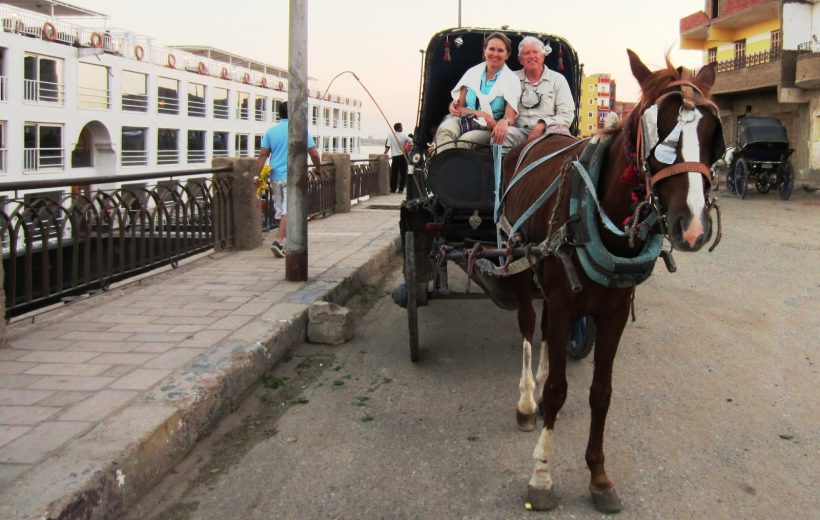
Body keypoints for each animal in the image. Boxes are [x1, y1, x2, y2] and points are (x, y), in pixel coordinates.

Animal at [500, 50, 724, 512]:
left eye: (713, 132)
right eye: (660, 130)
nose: (693, 227)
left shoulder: (615, 311)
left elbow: (600, 392)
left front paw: (599, 476)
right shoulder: (564, 302)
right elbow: (558, 389)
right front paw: (542, 476)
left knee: (545, 333)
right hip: (519, 260)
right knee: (530, 327)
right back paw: (527, 401)